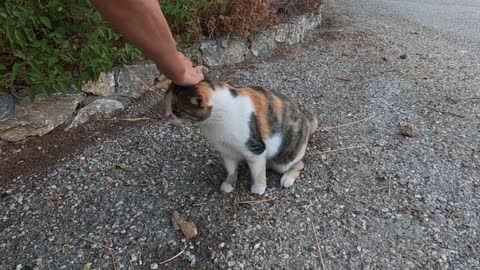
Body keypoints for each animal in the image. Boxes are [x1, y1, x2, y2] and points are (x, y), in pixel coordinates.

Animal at [158, 79, 318, 195]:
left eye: (176, 110)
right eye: (165, 102)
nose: (165, 116)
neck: (215, 121)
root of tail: (305, 119)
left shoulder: (255, 149)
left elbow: (258, 172)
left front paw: (259, 188)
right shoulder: (226, 150)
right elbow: (231, 170)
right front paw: (230, 183)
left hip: (284, 158)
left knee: (299, 164)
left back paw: (287, 178)